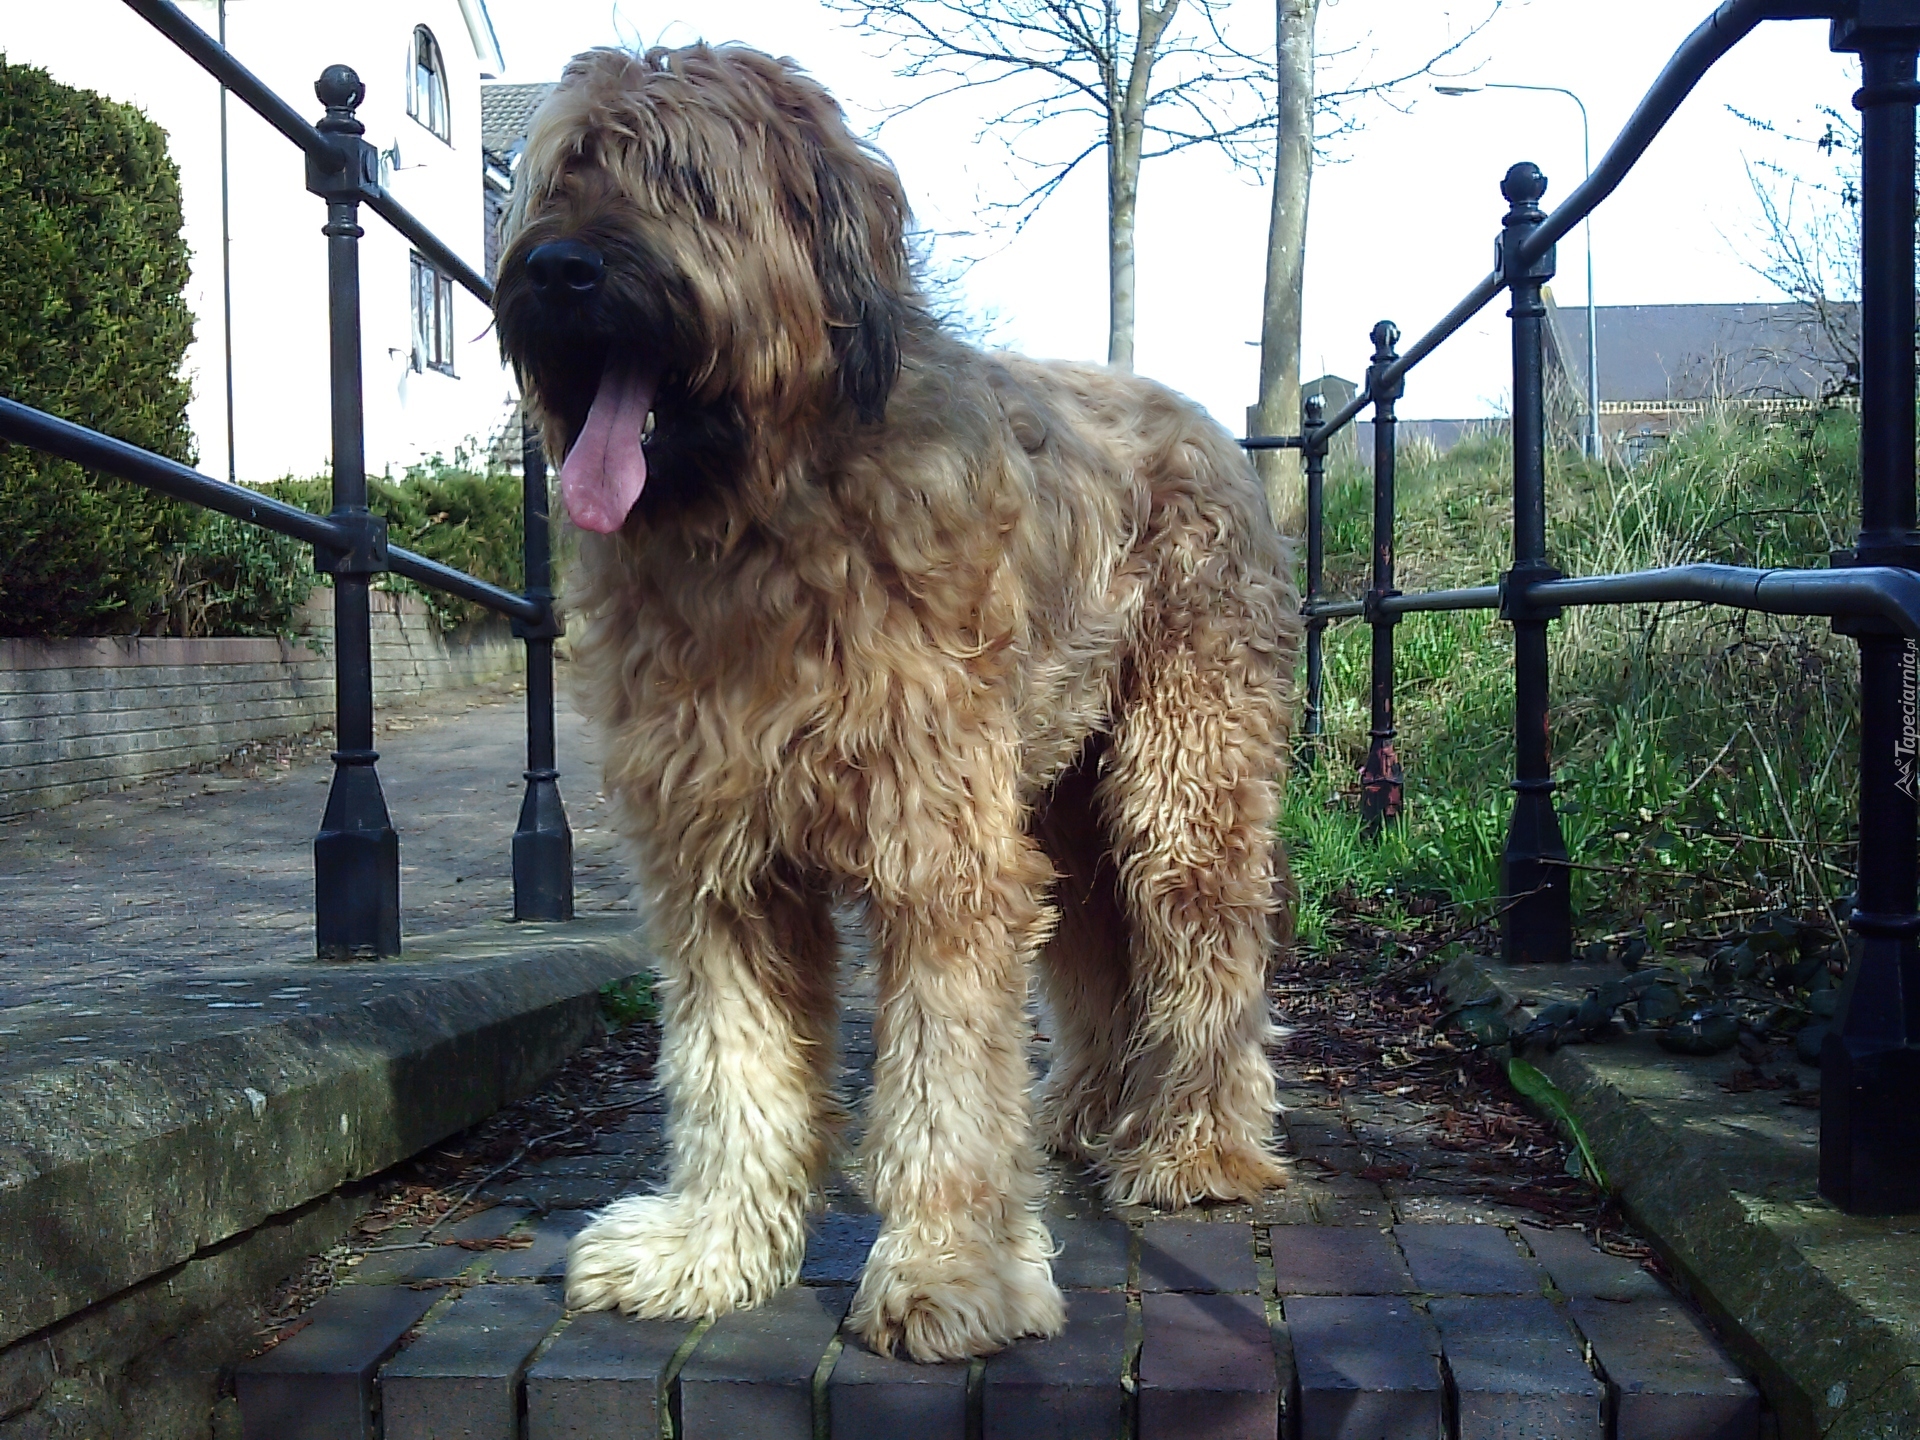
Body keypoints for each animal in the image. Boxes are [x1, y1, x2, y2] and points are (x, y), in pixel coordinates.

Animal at [495, 36, 1305, 1367]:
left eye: (687, 182)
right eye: (564, 175)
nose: (560, 271)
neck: (762, 519)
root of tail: (1208, 426)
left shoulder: (941, 849)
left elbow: (944, 1078)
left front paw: (948, 1271)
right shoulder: (720, 859)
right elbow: (731, 1066)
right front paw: (708, 1250)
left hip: (1180, 777)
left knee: (1207, 946)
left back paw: (1194, 1144)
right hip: (1064, 797)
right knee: (1096, 951)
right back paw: (1081, 1112)